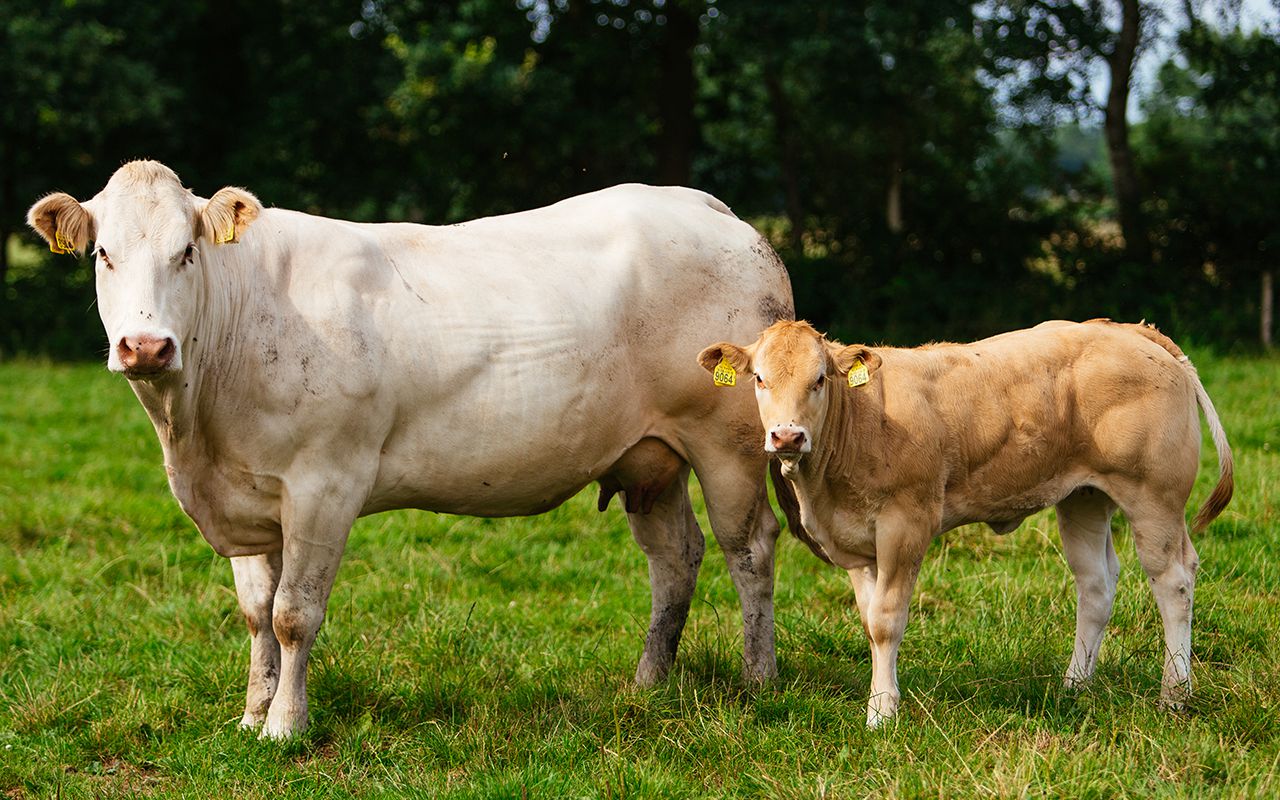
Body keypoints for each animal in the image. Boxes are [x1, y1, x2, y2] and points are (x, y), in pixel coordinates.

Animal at [27, 160, 788, 737]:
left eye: (185, 253)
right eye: (104, 255)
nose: (146, 346)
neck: (196, 432)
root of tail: (705, 206)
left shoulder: (325, 482)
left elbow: (294, 615)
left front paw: (285, 726)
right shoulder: (247, 493)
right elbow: (256, 614)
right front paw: (251, 714)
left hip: (729, 443)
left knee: (749, 548)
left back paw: (759, 681)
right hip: (650, 457)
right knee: (675, 557)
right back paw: (649, 682)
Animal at [701, 318, 1228, 721]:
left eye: (819, 379)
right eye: (760, 379)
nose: (787, 437)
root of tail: (1130, 330)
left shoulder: (906, 524)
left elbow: (887, 621)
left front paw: (882, 712)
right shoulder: (855, 545)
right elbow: (869, 621)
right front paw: (879, 697)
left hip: (1154, 497)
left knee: (1174, 581)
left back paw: (1174, 695)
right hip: (1084, 498)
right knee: (1096, 584)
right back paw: (1074, 684)